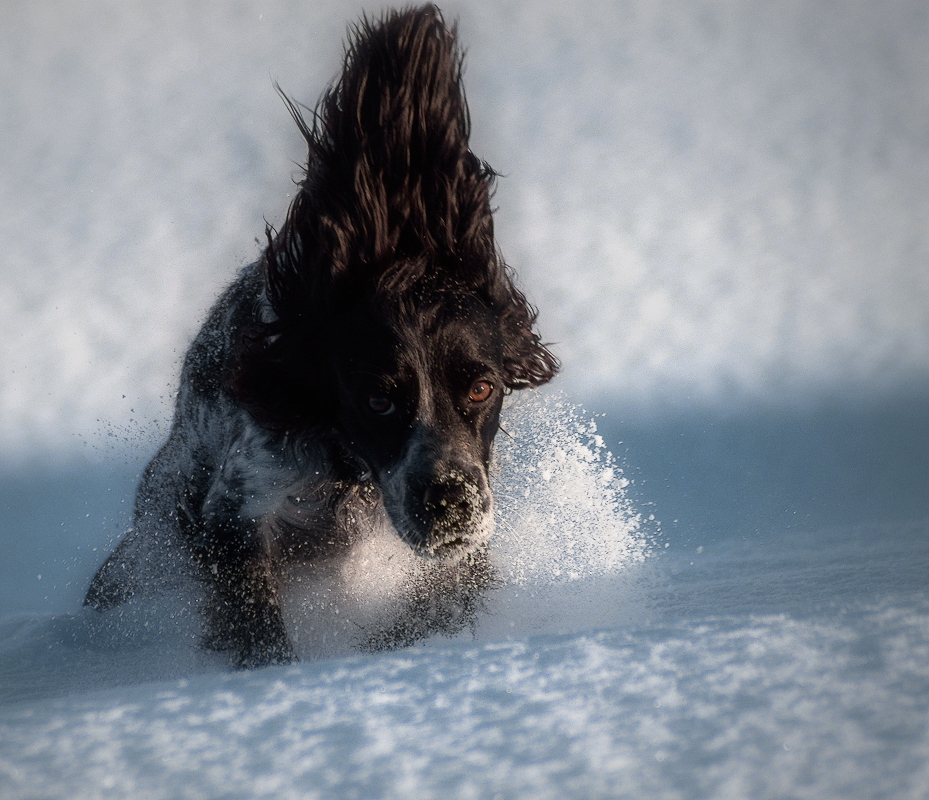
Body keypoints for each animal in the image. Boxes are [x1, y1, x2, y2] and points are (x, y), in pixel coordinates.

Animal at [83, 4, 556, 668]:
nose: (451, 505)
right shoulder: (233, 511)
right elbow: (254, 620)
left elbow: (441, 602)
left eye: (482, 388)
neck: (350, 475)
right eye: (378, 400)